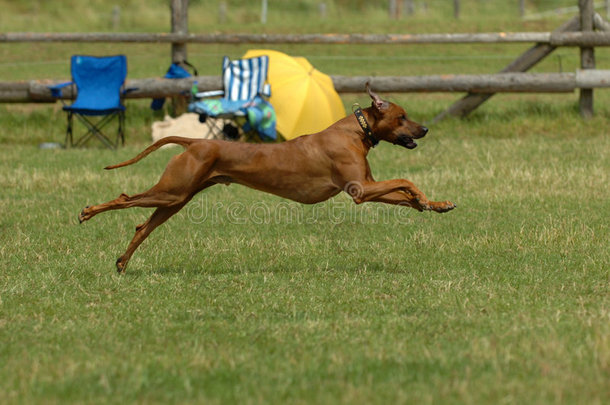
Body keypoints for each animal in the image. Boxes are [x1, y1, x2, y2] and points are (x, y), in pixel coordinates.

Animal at [78, 85, 454, 272]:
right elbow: (406, 180)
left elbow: (403, 193)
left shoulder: (368, 187)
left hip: (175, 198)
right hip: (171, 192)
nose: (425, 129)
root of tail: (196, 141)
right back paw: (88, 212)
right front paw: (423, 198)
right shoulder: (360, 190)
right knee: (125, 200)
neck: (356, 131)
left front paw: (433, 204)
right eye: (402, 117)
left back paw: (122, 262)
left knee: (143, 226)